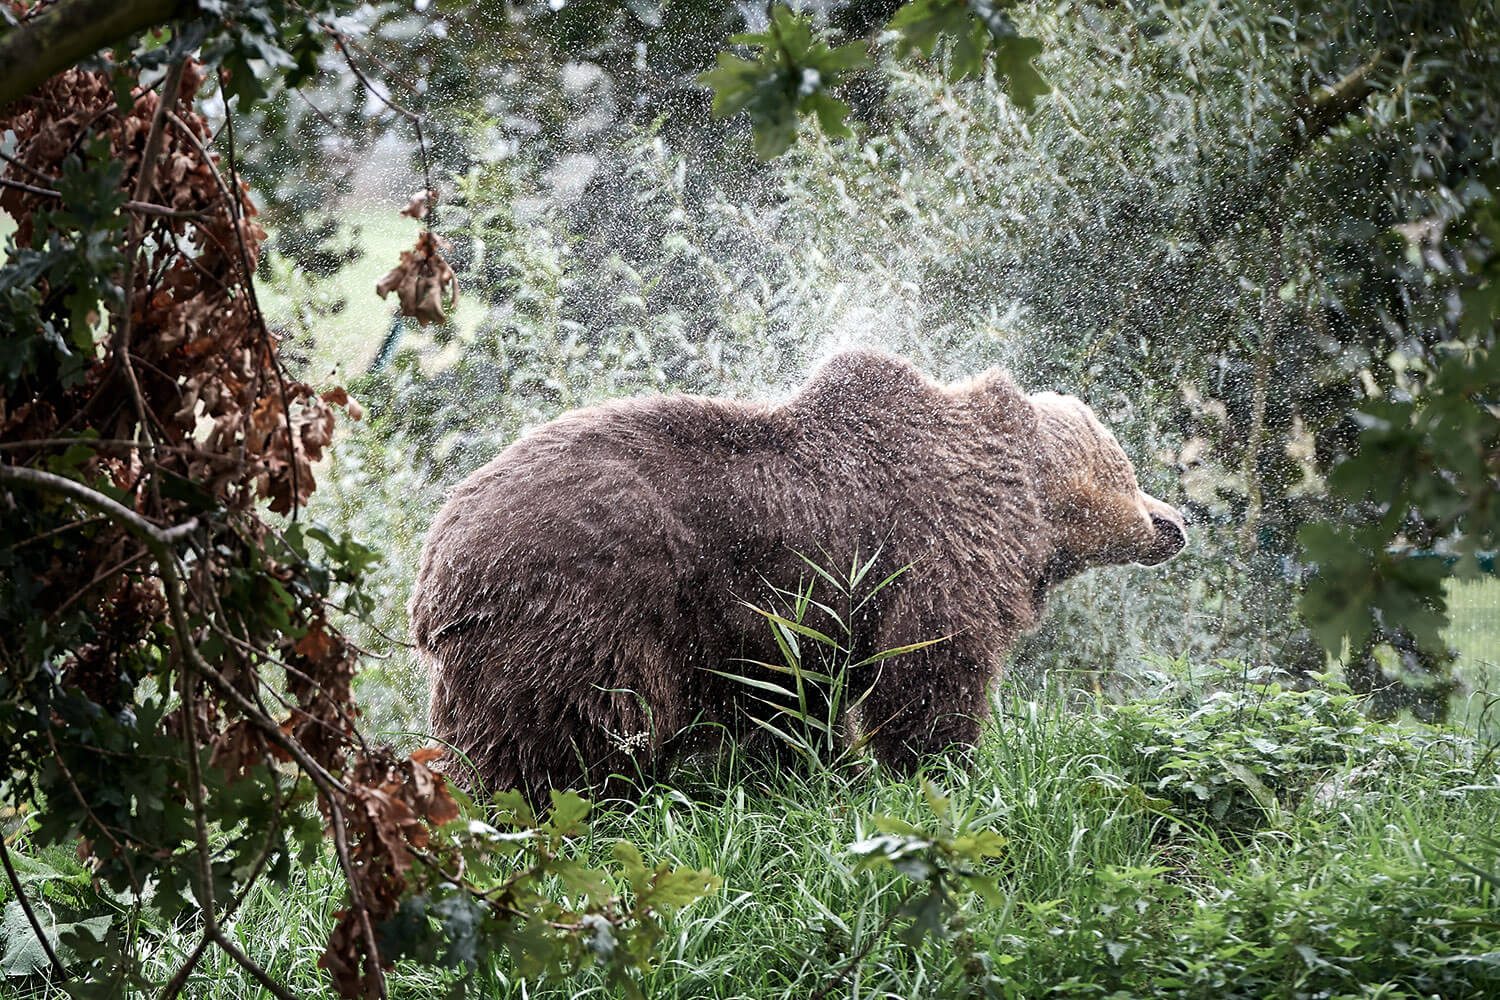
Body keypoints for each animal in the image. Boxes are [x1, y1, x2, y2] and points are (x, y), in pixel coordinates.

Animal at [409, 349, 1186, 803]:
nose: (1175, 521)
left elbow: (791, 713)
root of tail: (435, 572)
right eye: (1127, 466)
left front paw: (823, 775)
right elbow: (930, 671)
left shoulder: (772, 633)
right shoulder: (933, 548)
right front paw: (941, 769)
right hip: (584, 613)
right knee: (574, 736)